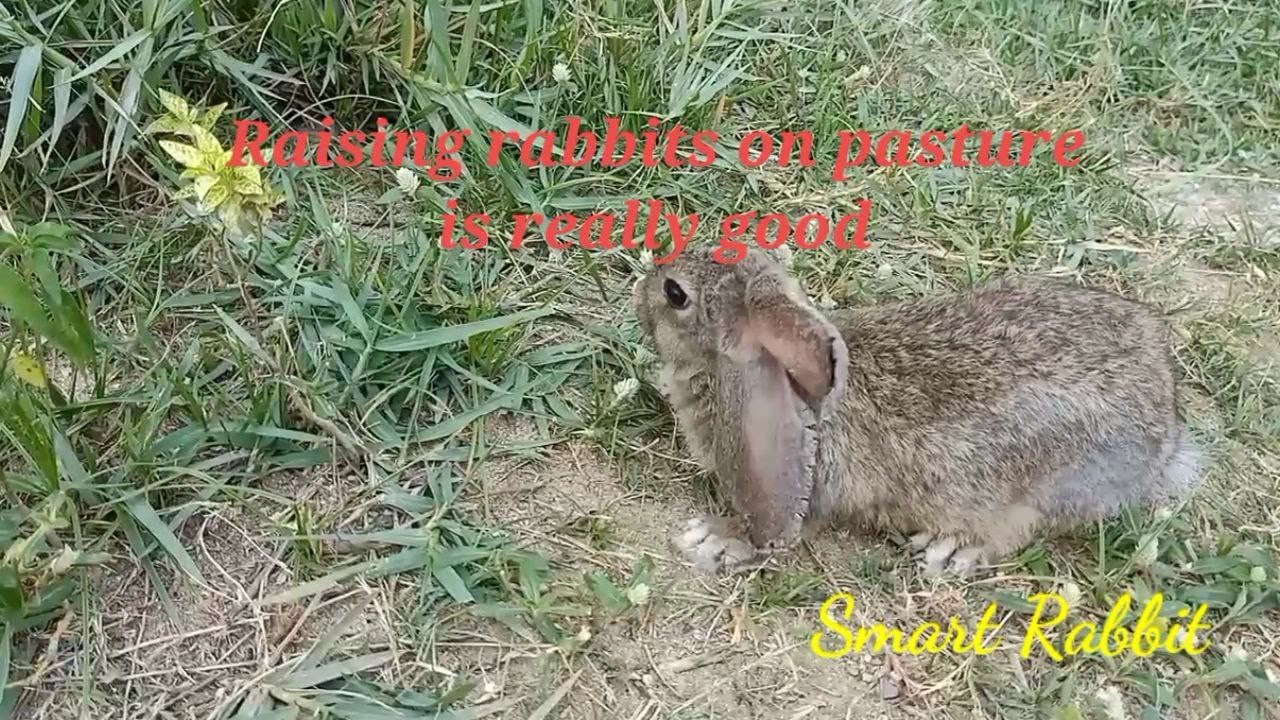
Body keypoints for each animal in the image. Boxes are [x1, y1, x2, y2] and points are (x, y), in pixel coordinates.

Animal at [631, 243, 1203, 576]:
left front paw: (716, 539)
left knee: (1017, 531)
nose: (643, 286)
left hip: (1044, 484)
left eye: (675, 294)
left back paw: (951, 549)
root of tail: (1167, 433)